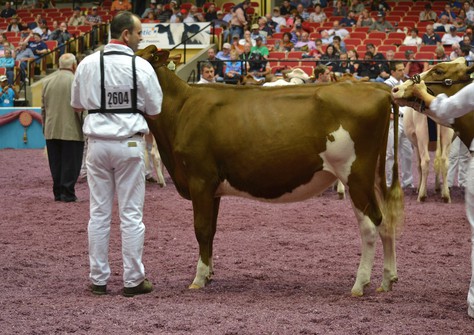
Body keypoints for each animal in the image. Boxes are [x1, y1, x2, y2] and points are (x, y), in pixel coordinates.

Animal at [137, 46, 404, 296]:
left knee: (370, 226)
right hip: (374, 175)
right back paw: (387, 280)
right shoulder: (212, 188)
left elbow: (201, 229)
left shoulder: (200, 179)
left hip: (355, 175)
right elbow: (211, 230)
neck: (181, 109)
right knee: (386, 221)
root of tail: (378, 89)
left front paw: (199, 279)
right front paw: (210, 273)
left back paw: (360, 283)